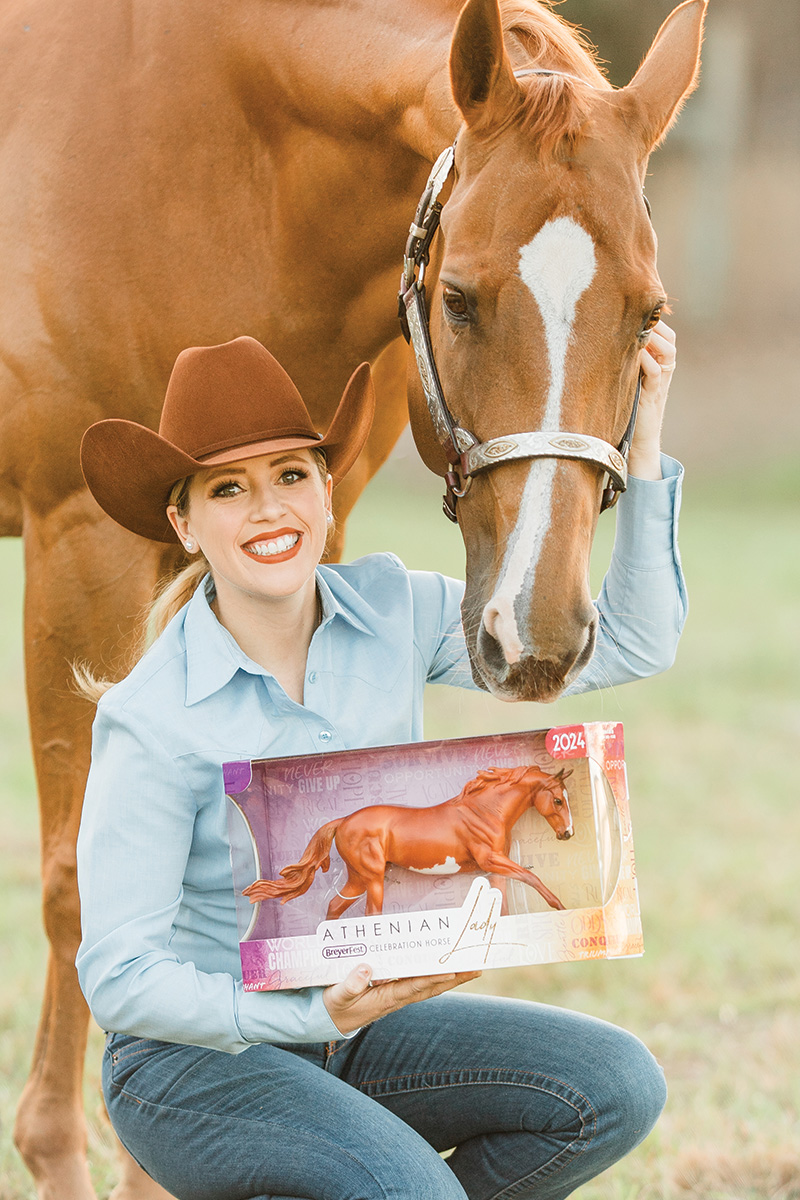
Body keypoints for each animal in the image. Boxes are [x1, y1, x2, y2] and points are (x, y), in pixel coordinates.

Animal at [244, 768, 575, 916]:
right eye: (558, 800)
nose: (568, 834)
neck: (483, 810)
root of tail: (344, 821)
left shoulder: (494, 869)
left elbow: (502, 902)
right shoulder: (491, 860)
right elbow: (531, 876)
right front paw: (560, 907)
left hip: (358, 878)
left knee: (336, 905)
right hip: (372, 877)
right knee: (369, 914)